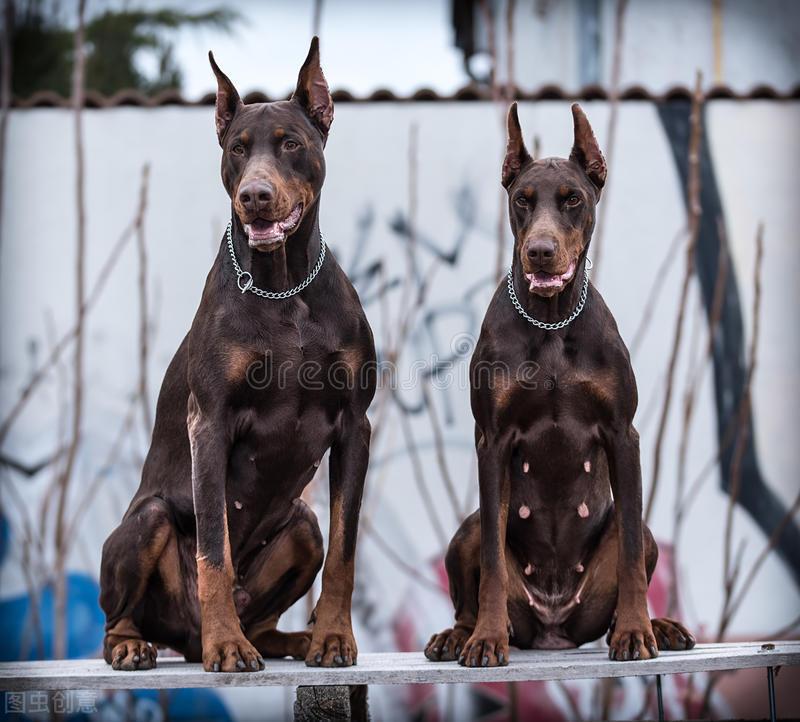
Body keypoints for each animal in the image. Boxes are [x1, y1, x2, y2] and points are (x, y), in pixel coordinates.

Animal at [99, 38, 376, 668]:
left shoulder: (355, 423)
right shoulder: (211, 423)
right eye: (237, 149)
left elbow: (345, 549)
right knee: (117, 616)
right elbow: (213, 552)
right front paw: (225, 646)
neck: (284, 290)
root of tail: (181, 638)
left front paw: (332, 636)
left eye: (291, 144)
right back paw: (145, 644)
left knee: (276, 602)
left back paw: (290, 639)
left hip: (302, 526)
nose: (255, 196)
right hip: (147, 521)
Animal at [424, 104, 692, 668]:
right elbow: (492, 563)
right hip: (467, 531)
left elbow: (631, 554)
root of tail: (553, 628)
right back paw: (459, 634)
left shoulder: (622, 433)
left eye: (572, 199)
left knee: (635, 549)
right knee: (471, 573)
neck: (549, 322)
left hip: (636, 549)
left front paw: (636, 631)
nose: (541, 251)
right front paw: (487, 639)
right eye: (522, 200)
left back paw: (656, 627)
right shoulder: (492, 439)